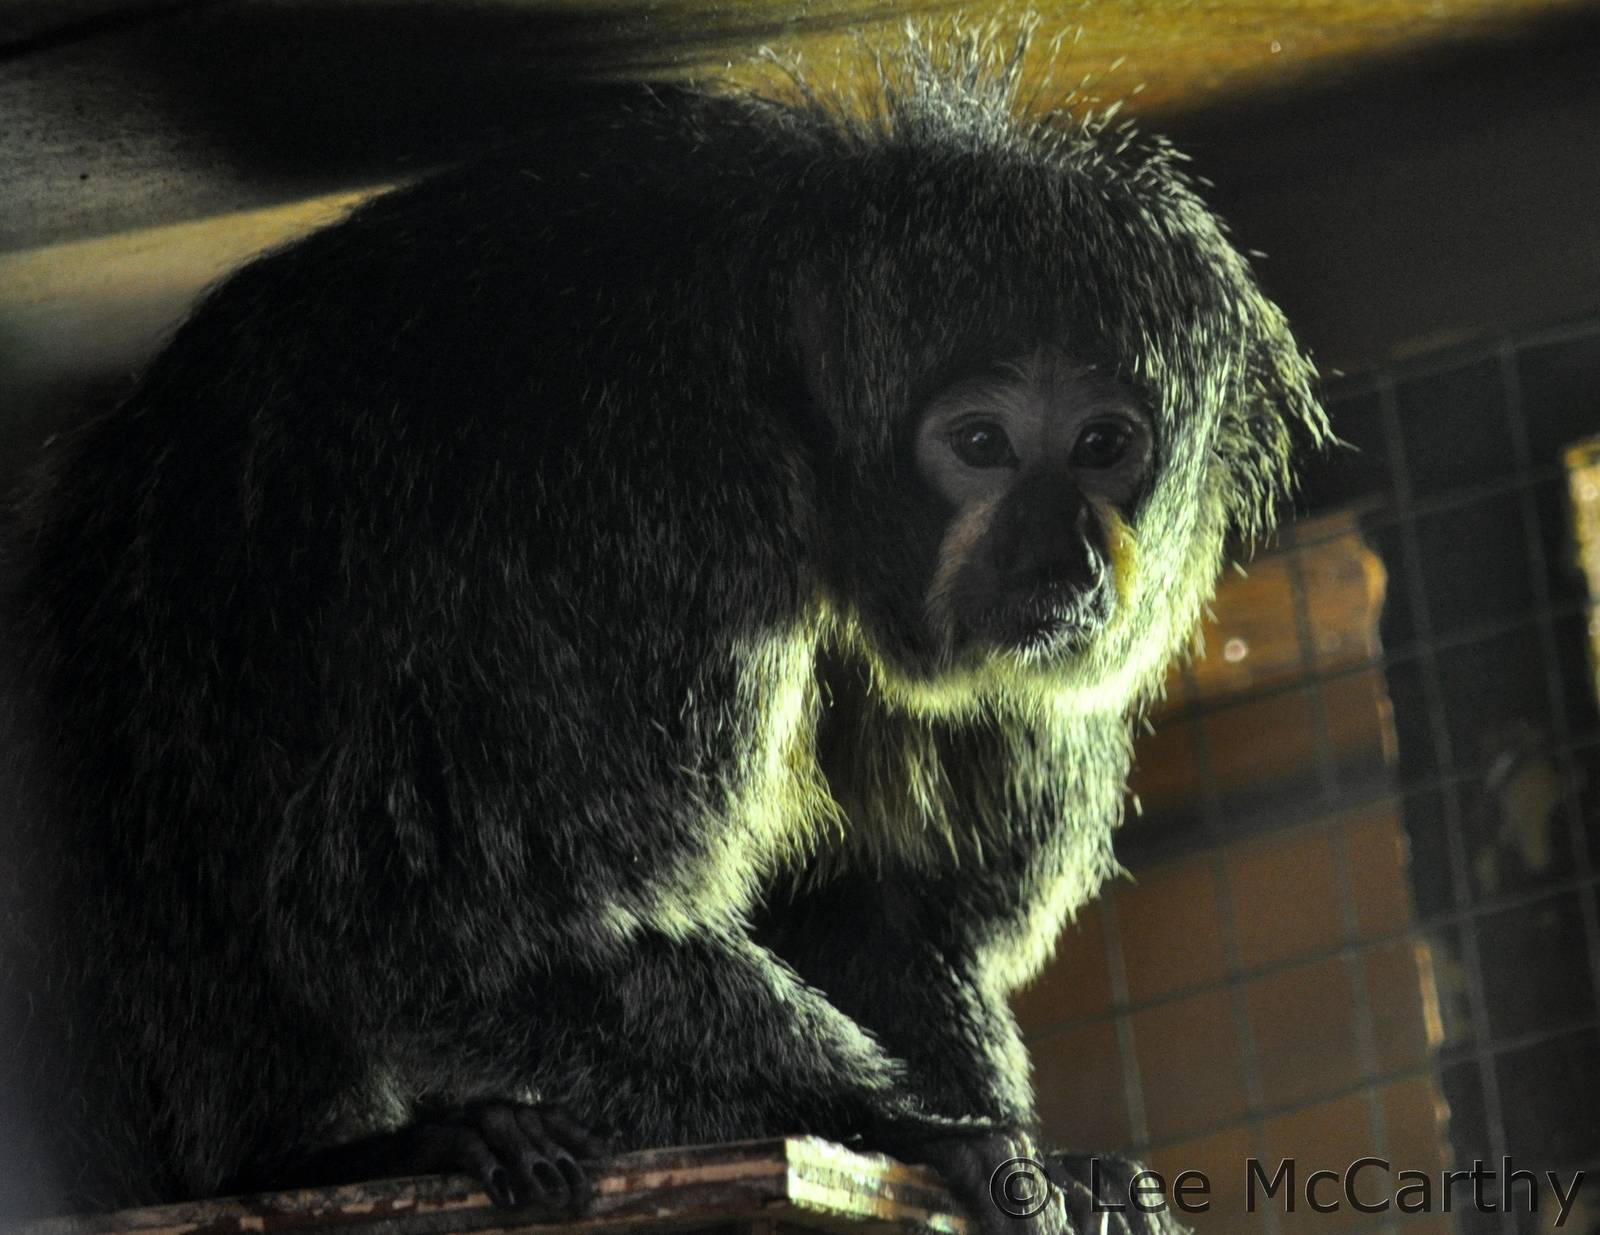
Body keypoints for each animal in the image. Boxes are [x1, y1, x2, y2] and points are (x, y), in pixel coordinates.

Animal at [0, 32, 1324, 1235]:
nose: (1056, 556)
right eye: (981, 444)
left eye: (1102, 445)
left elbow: (880, 908)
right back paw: (327, 1158)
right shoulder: (648, 515)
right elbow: (413, 920)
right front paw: (905, 1128)